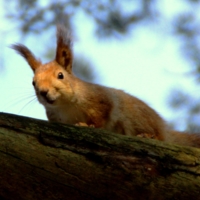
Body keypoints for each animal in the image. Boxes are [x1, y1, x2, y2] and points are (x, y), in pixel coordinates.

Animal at [11, 25, 200, 148]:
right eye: (33, 82)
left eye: (60, 75)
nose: (43, 92)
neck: (65, 106)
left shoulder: (101, 100)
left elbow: (102, 118)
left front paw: (89, 126)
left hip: (140, 118)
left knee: (159, 136)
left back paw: (150, 135)